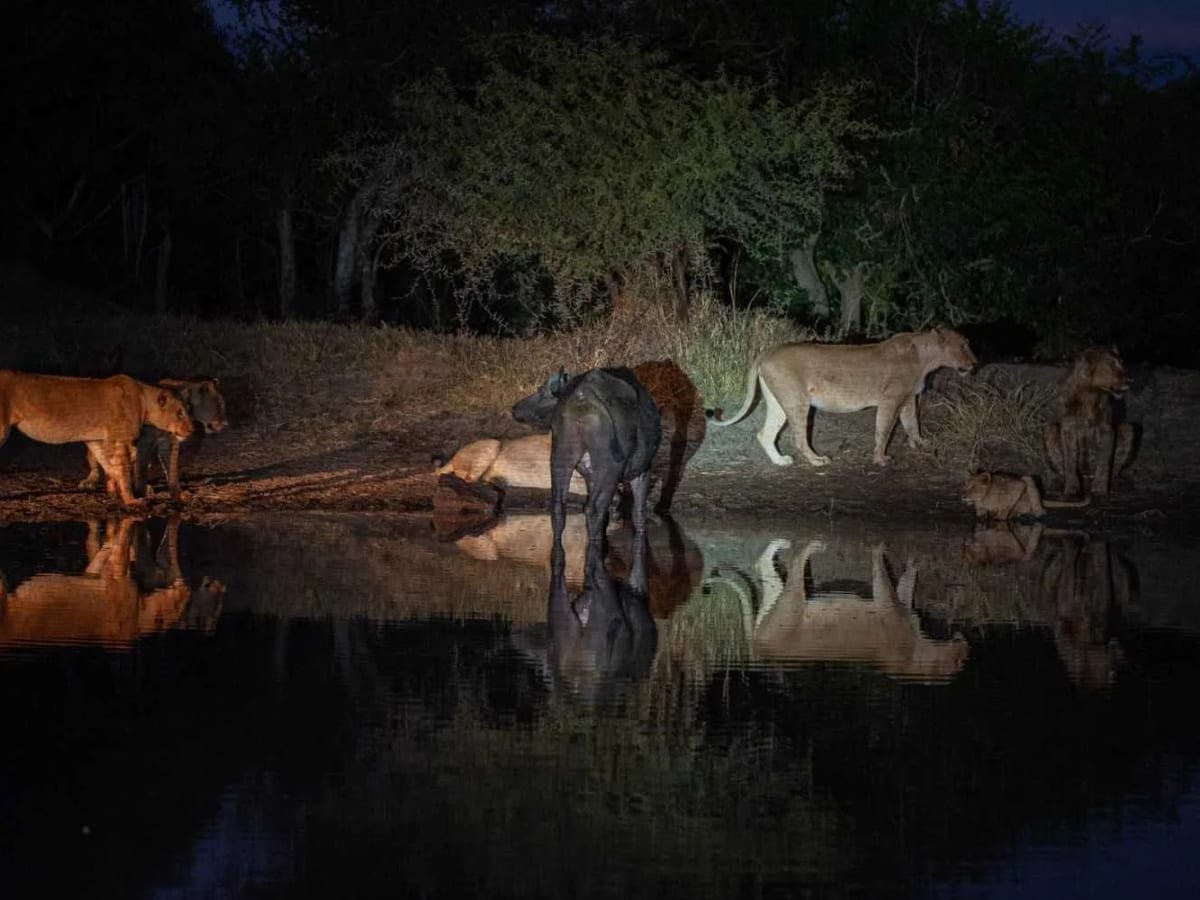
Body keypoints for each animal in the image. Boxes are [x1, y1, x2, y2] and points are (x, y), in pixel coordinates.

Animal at [0, 370, 193, 506]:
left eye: (187, 410)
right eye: (180, 413)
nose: (192, 429)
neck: (144, 400)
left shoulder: (97, 439)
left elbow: (108, 465)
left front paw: (113, 492)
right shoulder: (121, 439)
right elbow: (123, 470)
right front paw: (131, 500)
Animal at [81, 376, 227, 499]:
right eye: (219, 405)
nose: (226, 424)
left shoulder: (170, 443)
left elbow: (171, 468)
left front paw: (178, 493)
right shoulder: (145, 441)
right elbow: (141, 466)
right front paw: (140, 491)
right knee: (95, 459)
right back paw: (90, 482)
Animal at [708, 328, 976, 466]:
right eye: (963, 346)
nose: (975, 363)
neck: (925, 358)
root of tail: (767, 352)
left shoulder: (909, 399)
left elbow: (912, 424)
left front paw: (921, 443)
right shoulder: (890, 399)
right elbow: (884, 429)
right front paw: (881, 458)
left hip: (779, 402)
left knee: (765, 433)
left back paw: (781, 461)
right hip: (797, 401)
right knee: (797, 437)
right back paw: (817, 460)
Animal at [1043, 346, 1136, 497]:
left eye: (1122, 363)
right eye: (1111, 366)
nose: (1129, 381)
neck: (1091, 393)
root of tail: (1087, 476)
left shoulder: (1106, 429)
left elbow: (1104, 461)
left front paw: (1100, 489)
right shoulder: (1068, 427)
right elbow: (1070, 461)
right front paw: (1072, 488)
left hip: (1128, 428)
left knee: (1115, 468)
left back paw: (1116, 483)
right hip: (1049, 429)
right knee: (1061, 468)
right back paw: (1057, 483)